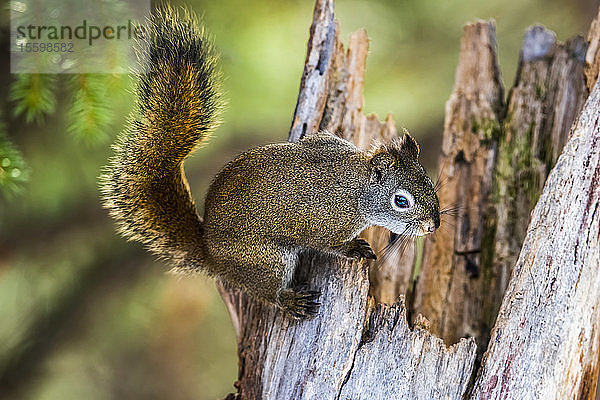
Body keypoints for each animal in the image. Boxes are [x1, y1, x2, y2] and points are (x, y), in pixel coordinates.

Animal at [101, 5, 440, 318]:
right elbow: (330, 245)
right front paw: (355, 247)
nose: (433, 225)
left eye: (429, 182)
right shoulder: (325, 223)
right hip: (268, 261)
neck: (356, 187)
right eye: (401, 201)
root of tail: (212, 255)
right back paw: (291, 301)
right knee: (266, 293)